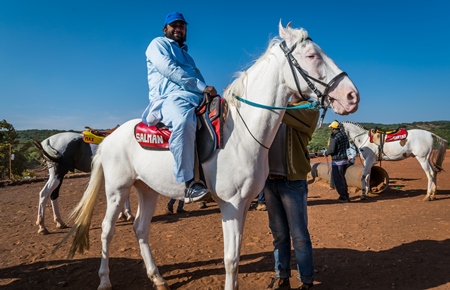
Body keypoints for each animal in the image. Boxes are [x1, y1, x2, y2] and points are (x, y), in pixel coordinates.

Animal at [63, 21, 360, 288]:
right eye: (312, 56)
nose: (352, 96)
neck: (241, 133)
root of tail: (109, 137)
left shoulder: (243, 204)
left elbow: (237, 256)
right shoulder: (231, 205)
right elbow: (231, 260)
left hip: (146, 189)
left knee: (140, 228)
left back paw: (157, 277)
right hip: (117, 189)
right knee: (106, 230)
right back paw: (104, 281)